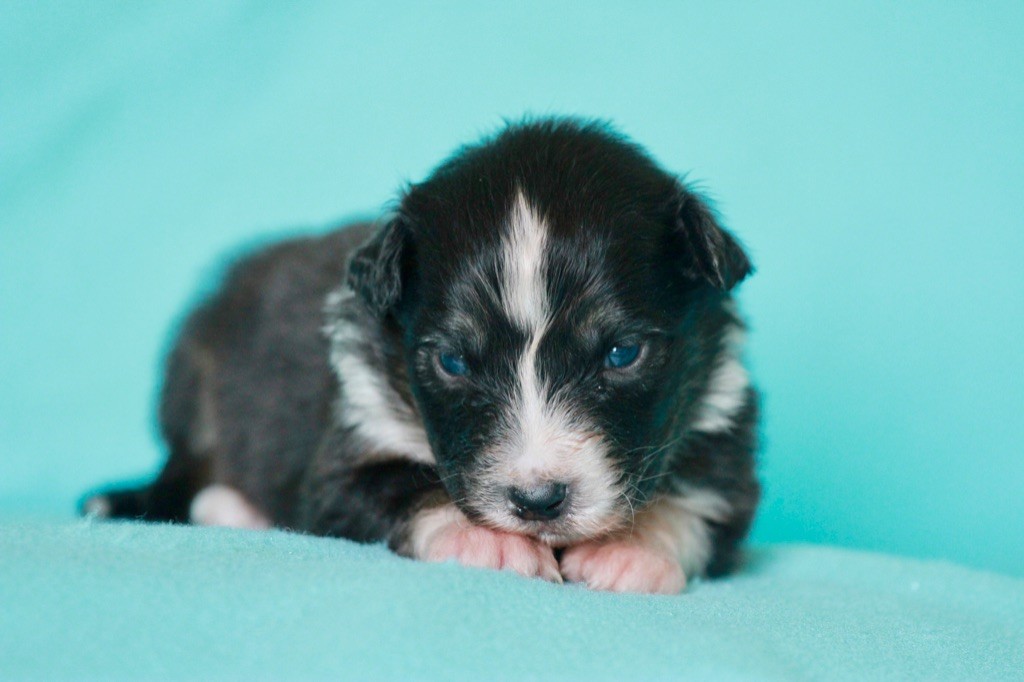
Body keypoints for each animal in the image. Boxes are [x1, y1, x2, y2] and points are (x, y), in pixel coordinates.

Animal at [86, 119, 761, 593]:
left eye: (622, 354)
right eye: (453, 363)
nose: (538, 501)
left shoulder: (723, 424)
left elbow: (703, 504)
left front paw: (631, 547)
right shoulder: (346, 446)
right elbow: (400, 485)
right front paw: (491, 543)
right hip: (193, 386)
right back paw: (228, 507)